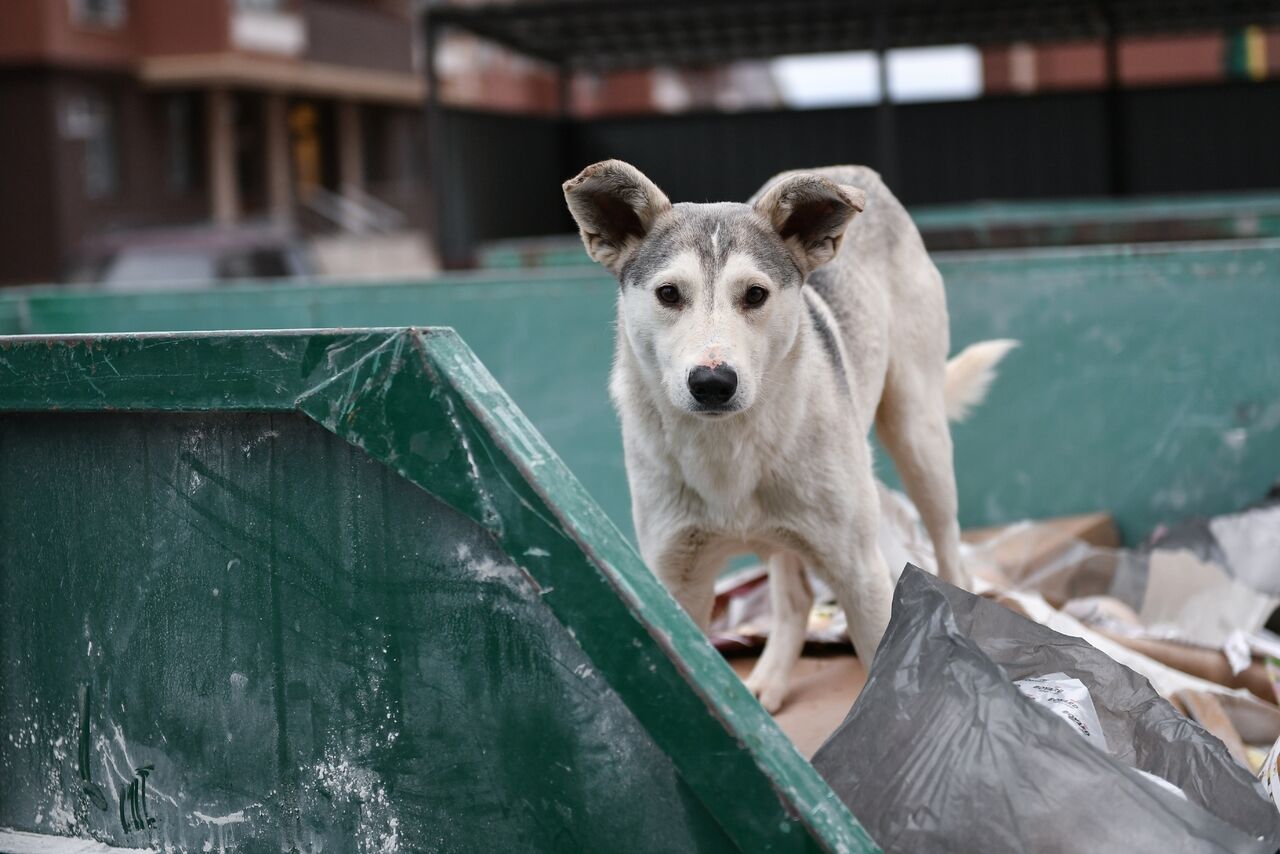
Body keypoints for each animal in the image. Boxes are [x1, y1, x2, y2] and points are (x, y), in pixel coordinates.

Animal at [565, 160, 1013, 717]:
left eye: (755, 294)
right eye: (669, 294)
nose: (712, 383)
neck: (728, 447)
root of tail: (854, 170)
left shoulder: (859, 573)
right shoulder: (677, 579)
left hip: (918, 437)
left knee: (949, 550)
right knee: (795, 595)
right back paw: (770, 680)